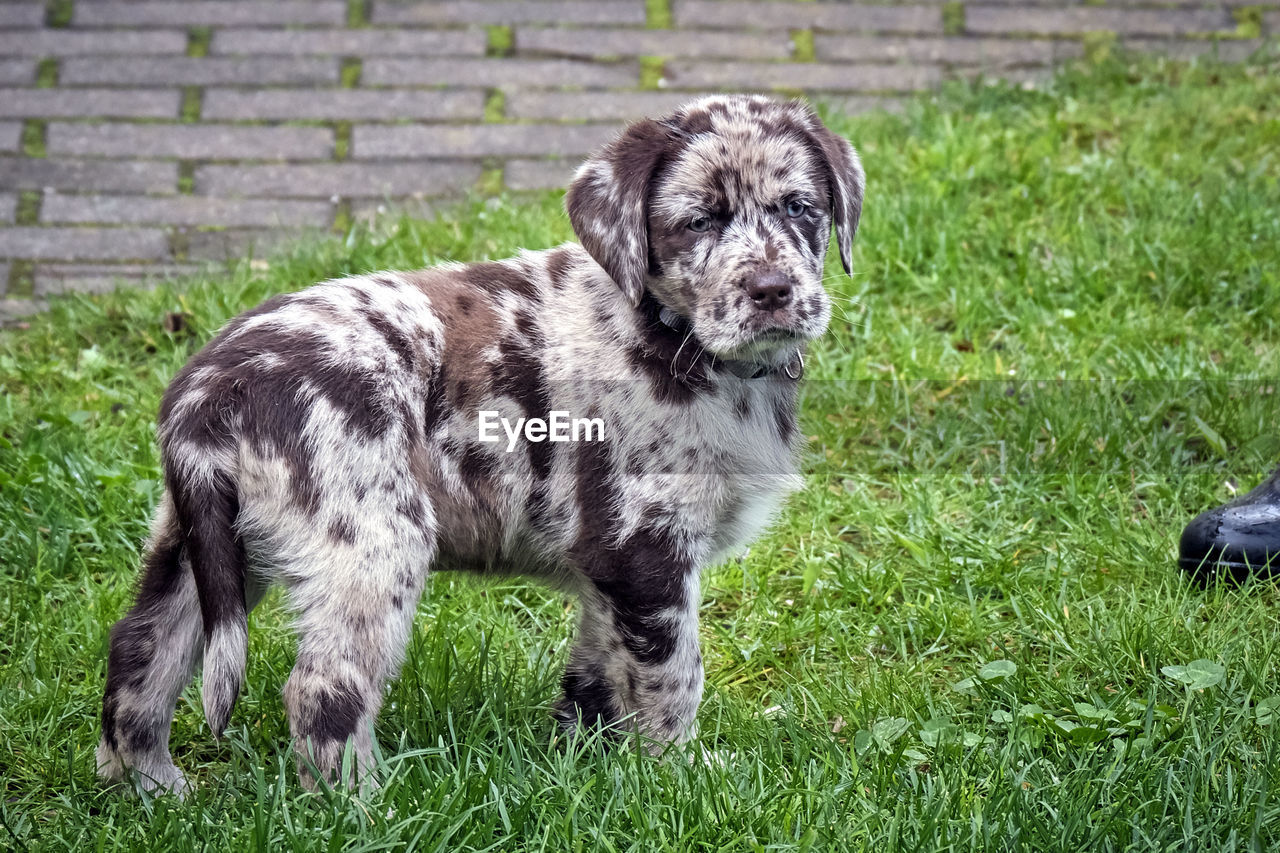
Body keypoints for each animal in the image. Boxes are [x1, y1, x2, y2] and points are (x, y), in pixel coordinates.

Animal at [97, 96, 860, 794]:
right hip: (372, 544)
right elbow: (672, 676)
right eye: (699, 221)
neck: (676, 338)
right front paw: (681, 777)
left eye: (800, 207)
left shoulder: (604, 569)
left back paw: (147, 789)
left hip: (204, 541)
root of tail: (208, 392)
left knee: (140, 650)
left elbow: (597, 676)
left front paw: (586, 766)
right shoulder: (646, 550)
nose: (771, 290)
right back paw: (366, 811)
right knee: (323, 690)